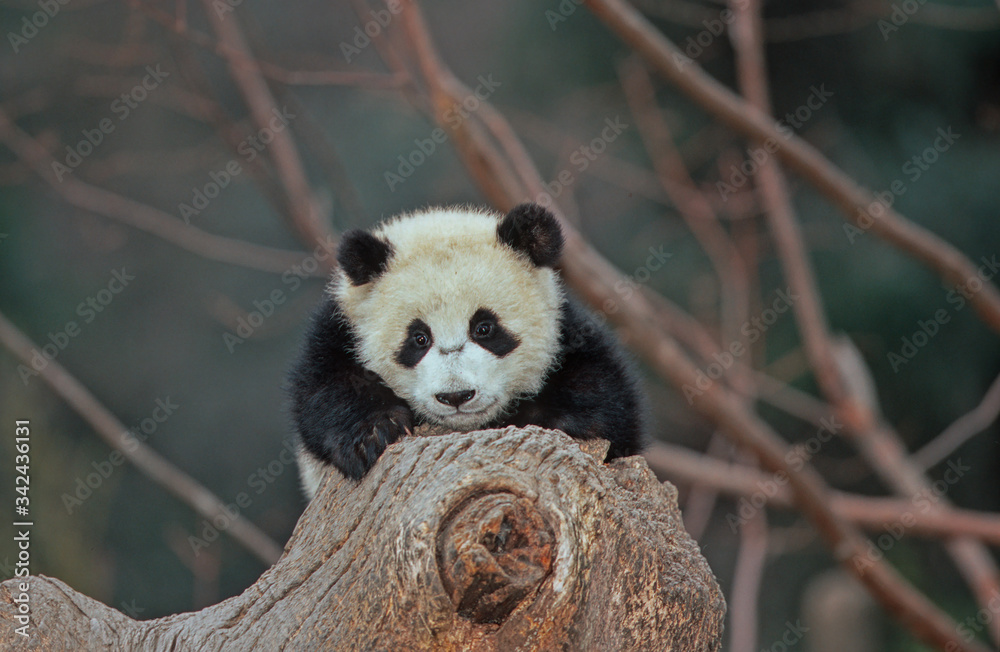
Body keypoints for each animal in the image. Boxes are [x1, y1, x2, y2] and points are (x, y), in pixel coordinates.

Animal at [288, 202, 644, 498]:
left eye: (484, 328)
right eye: (419, 338)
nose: (456, 396)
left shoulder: (567, 329)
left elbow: (603, 395)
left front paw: (546, 420)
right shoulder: (340, 328)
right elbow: (325, 388)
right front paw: (374, 433)